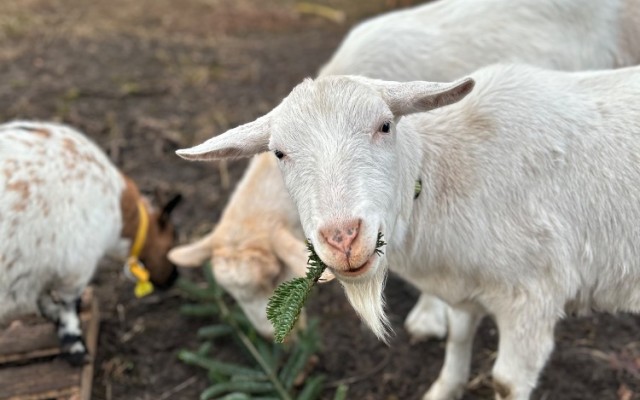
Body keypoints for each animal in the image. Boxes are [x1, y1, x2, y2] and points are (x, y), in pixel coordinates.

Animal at [178, 62, 640, 400]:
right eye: (278, 152)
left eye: (385, 126)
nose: (343, 238)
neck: (446, 176)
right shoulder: (466, 284)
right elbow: (458, 336)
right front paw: (443, 389)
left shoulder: (532, 297)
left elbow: (506, 382)